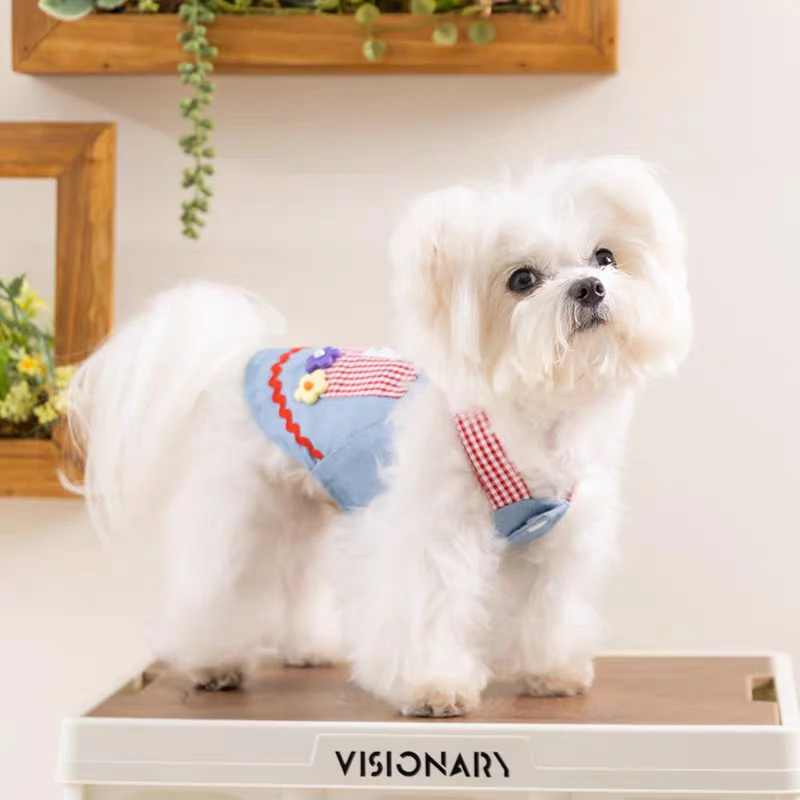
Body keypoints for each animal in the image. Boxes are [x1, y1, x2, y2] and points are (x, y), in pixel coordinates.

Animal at [67, 158, 691, 716]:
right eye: (522, 280)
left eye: (605, 256)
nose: (590, 287)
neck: (532, 419)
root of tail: (241, 360)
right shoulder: (431, 533)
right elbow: (430, 607)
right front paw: (435, 686)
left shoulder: (556, 539)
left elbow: (549, 607)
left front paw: (550, 671)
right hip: (242, 510)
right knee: (217, 583)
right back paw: (212, 662)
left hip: (301, 510)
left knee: (298, 578)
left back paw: (309, 647)